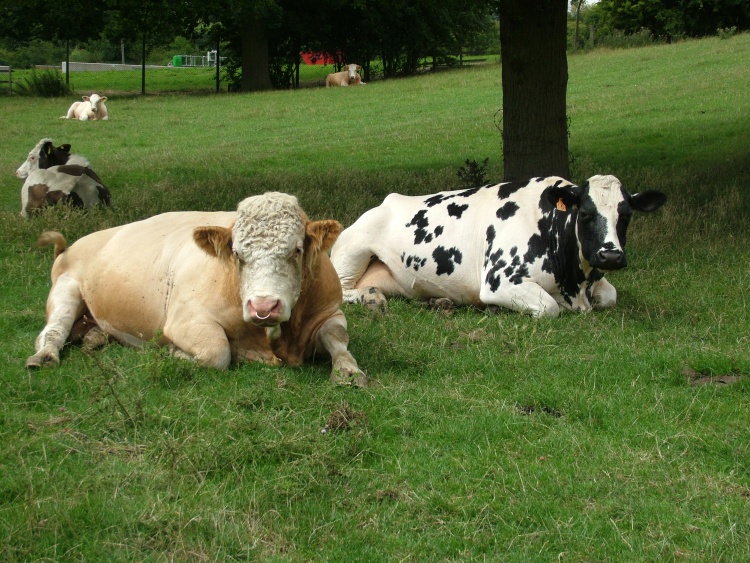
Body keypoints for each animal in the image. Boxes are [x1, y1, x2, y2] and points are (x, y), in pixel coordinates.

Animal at [27, 194, 368, 388]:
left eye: (296, 250)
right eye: (237, 254)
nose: (263, 307)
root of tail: (71, 245)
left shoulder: (330, 311)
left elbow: (338, 338)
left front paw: (349, 371)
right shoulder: (186, 319)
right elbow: (218, 352)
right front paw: (173, 352)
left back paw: (94, 338)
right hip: (66, 289)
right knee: (53, 330)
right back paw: (44, 356)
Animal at [334, 175, 668, 318]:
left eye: (626, 215)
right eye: (585, 213)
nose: (610, 255)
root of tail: (386, 201)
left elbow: (610, 296)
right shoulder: (500, 281)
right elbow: (548, 307)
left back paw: (439, 301)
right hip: (353, 249)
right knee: (342, 290)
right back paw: (370, 297)